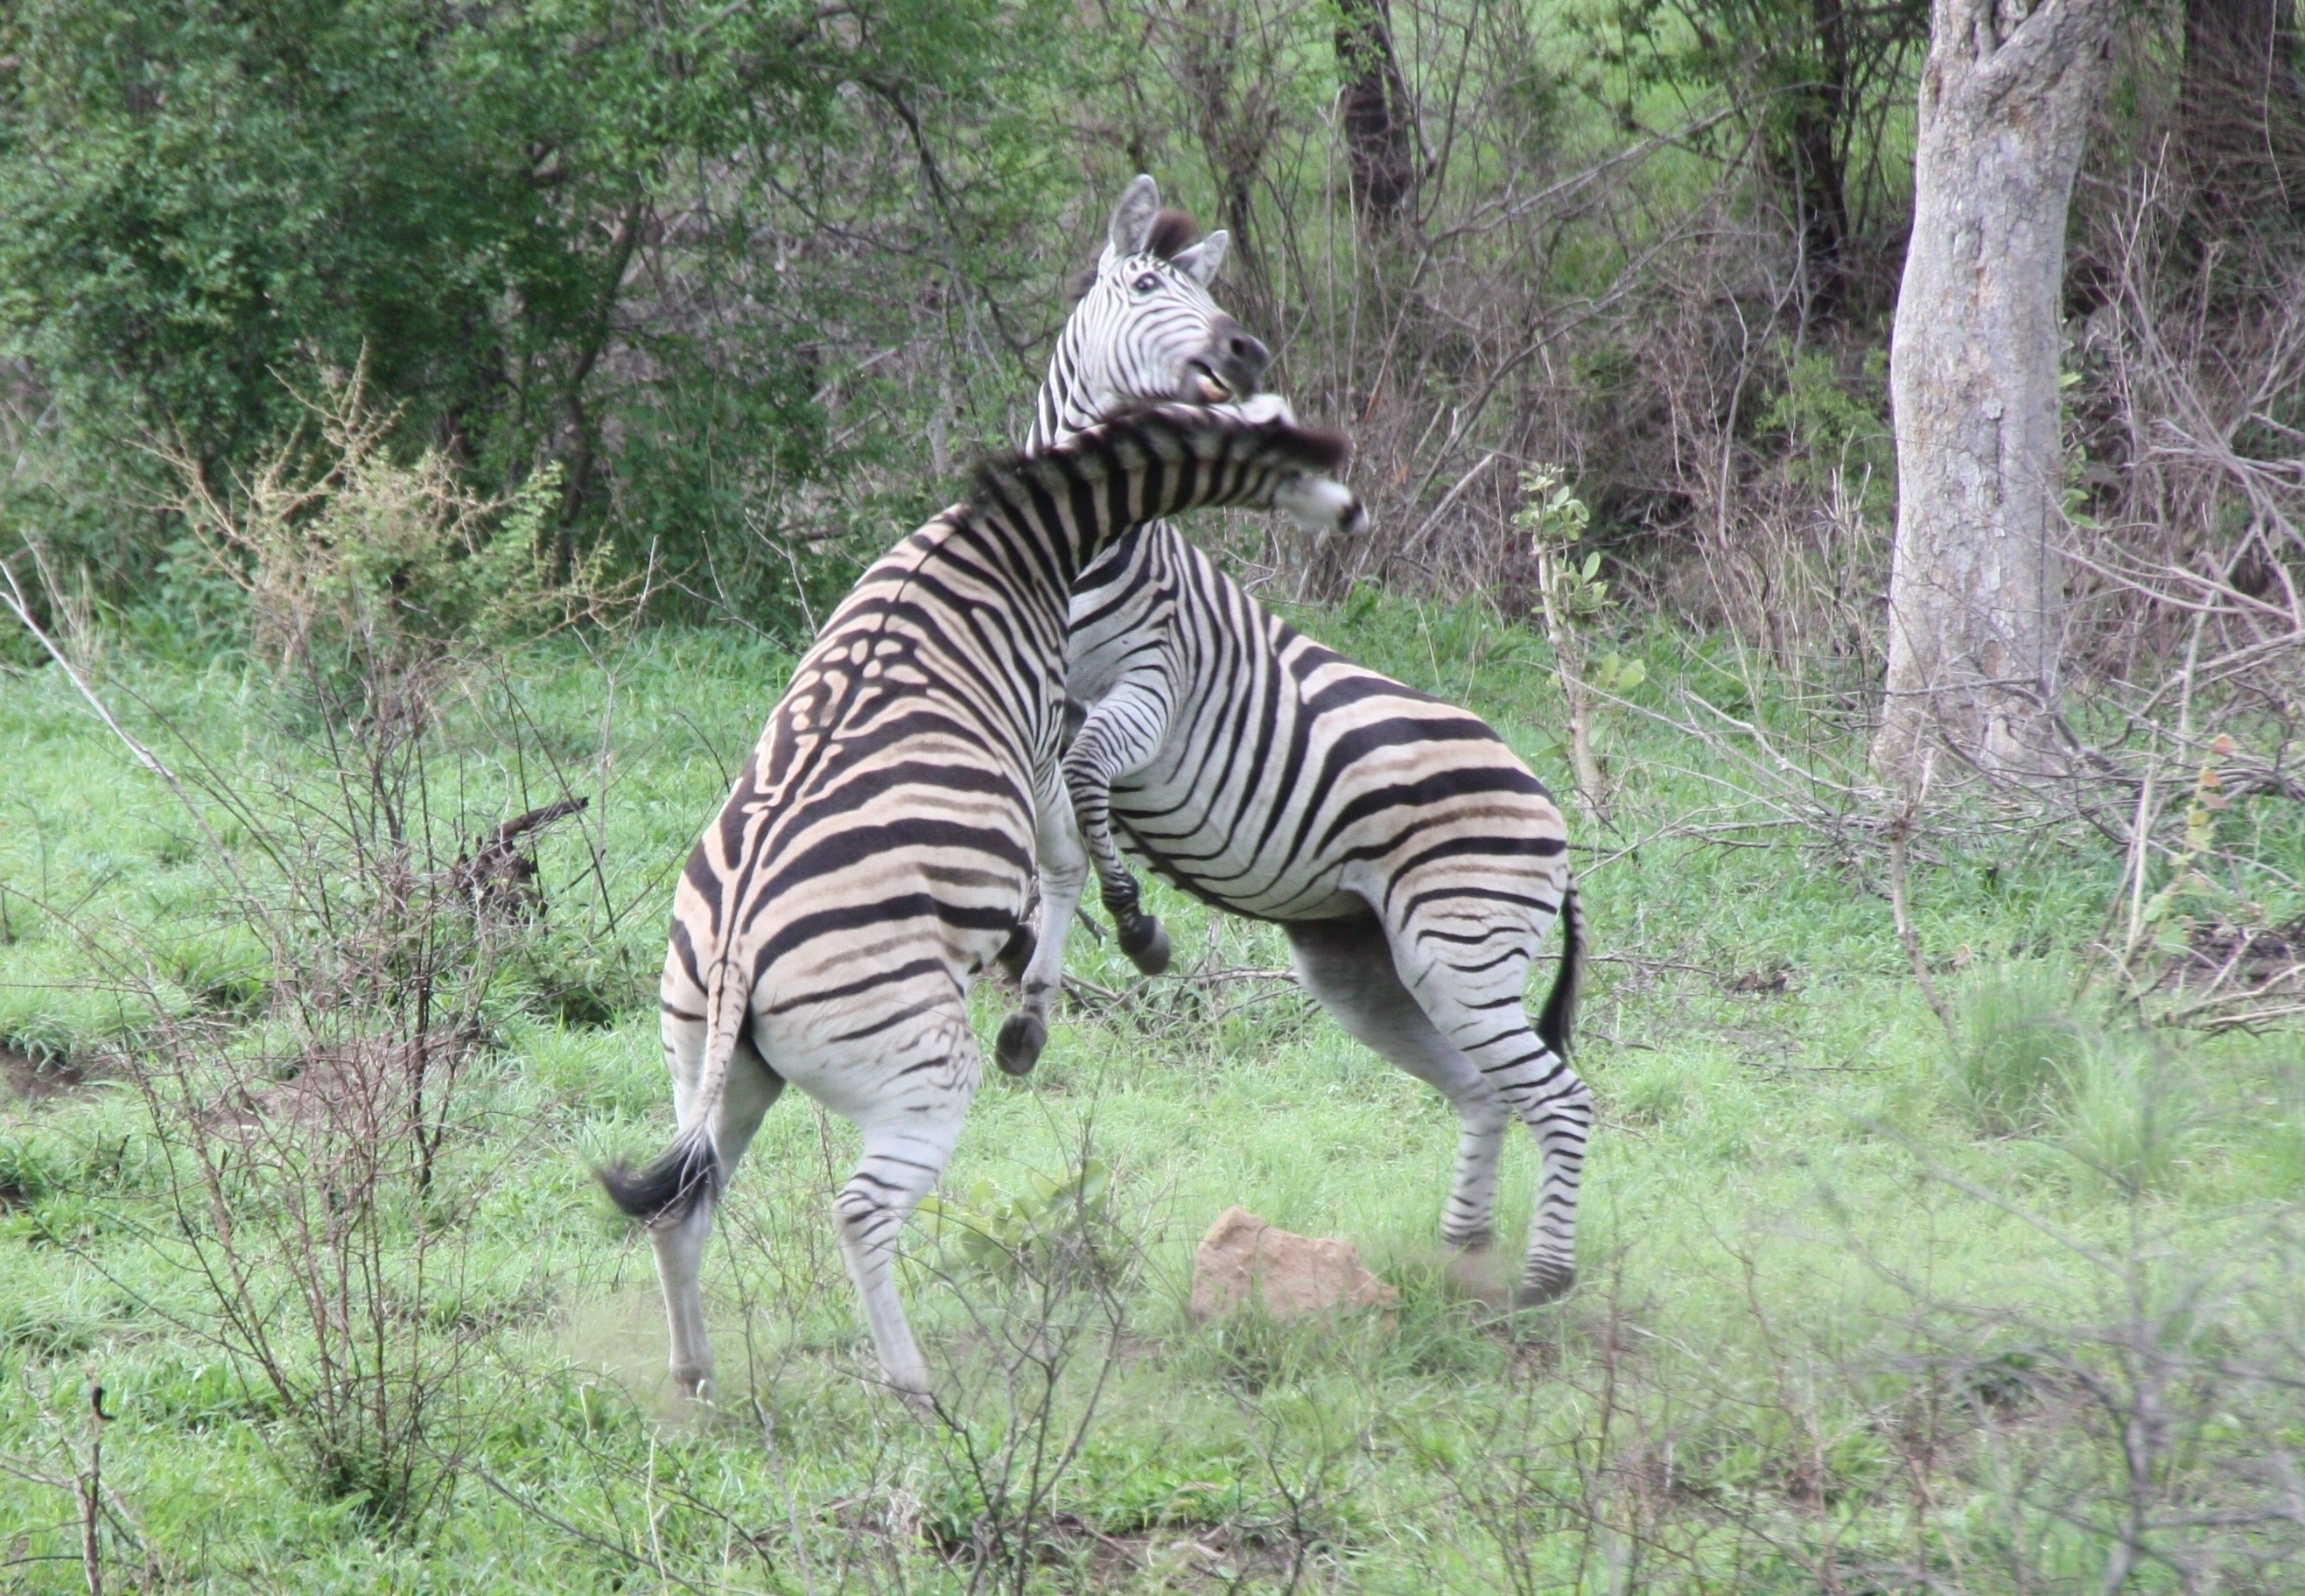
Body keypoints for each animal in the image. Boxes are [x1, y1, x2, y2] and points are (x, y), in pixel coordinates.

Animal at [601, 405, 1365, 1406]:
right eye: (1310, 458)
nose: (1357, 520)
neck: (1009, 541)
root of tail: (732, 956)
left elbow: (1063, 856)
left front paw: (1038, 974)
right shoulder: (1039, 735)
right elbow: (1068, 853)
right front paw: (1110, 950)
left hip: (708, 1068)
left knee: (682, 1208)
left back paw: (696, 1381)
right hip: (919, 1070)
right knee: (858, 1212)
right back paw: (913, 1389)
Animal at [998, 178, 1592, 1310]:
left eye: (1202, 294)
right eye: (1146, 288)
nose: (1246, 352)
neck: (1087, 541)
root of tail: (1552, 814)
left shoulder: (1152, 690)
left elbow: (1091, 792)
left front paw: (1137, 926)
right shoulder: (1037, 716)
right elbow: (1048, 850)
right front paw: (1026, 993)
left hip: (1464, 946)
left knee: (1560, 1096)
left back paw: (1543, 1280)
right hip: (1373, 967)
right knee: (1485, 1090)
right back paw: (1461, 1256)